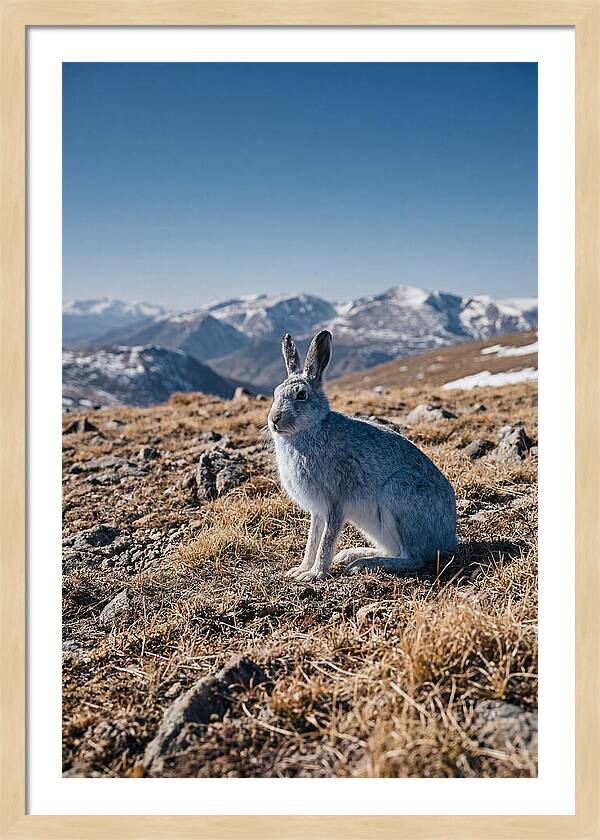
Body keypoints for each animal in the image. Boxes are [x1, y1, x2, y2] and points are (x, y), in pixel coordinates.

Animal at [268, 330, 457, 581]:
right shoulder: (318, 510)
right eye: (275, 393)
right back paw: (352, 554)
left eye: (301, 395)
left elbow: (326, 541)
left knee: (412, 558)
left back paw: (364, 564)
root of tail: (448, 538)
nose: (274, 419)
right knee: (395, 550)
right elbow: (312, 540)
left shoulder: (335, 501)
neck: (311, 429)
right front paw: (300, 569)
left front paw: (315, 574)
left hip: (399, 497)